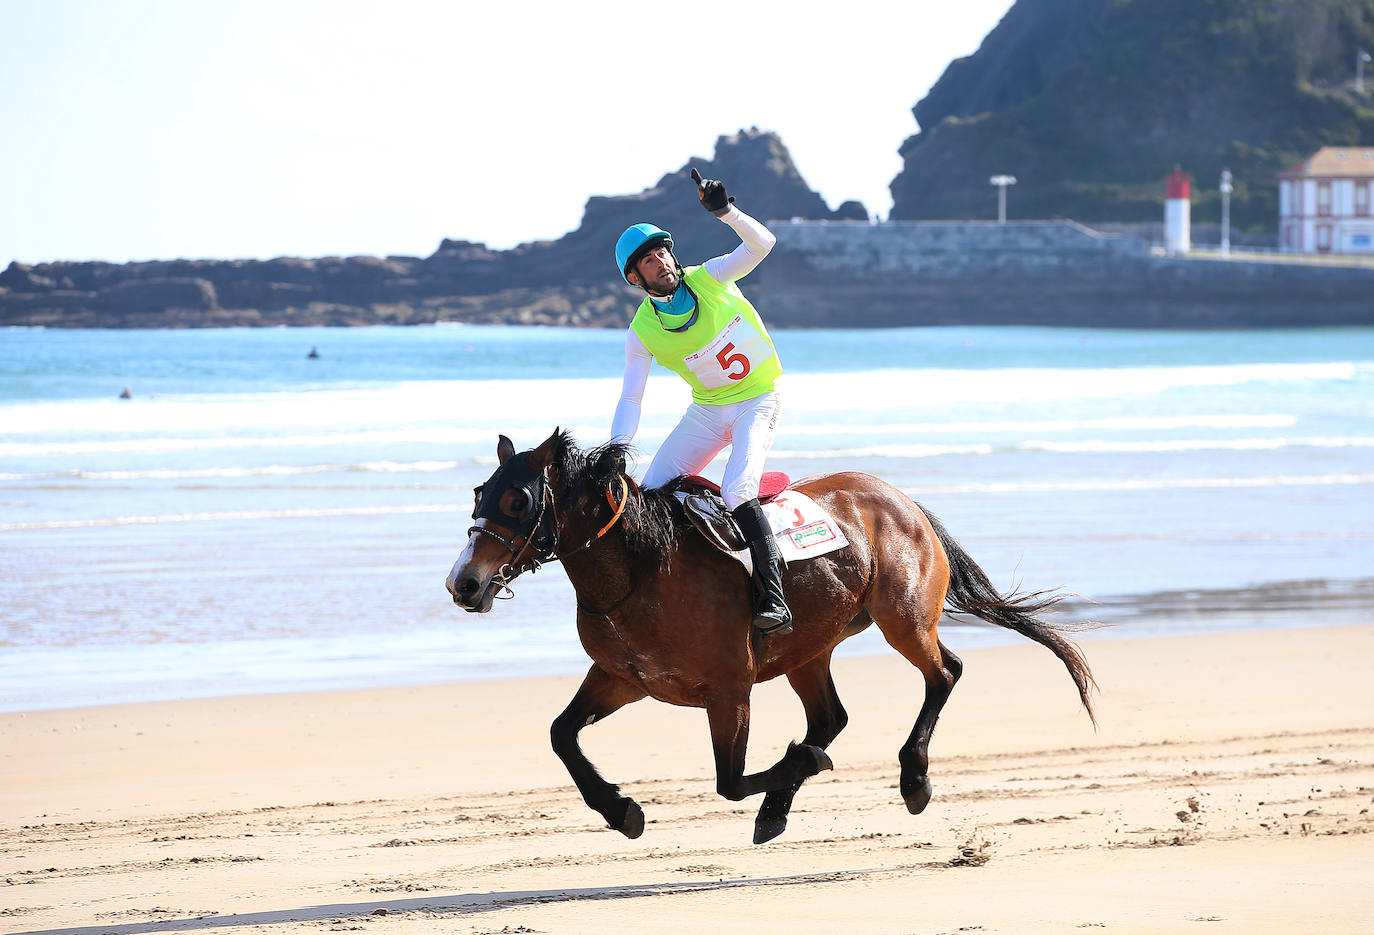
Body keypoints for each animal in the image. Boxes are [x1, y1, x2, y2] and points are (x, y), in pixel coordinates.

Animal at [447, 431, 1093, 847]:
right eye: (479, 494)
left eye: (518, 499)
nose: (464, 583)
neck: (640, 568)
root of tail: (901, 499)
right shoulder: (624, 678)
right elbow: (562, 735)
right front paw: (620, 809)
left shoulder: (729, 688)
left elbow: (729, 780)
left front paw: (800, 764)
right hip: (809, 648)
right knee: (832, 716)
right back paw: (782, 804)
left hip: (903, 619)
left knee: (945, 673)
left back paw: (913, 778)